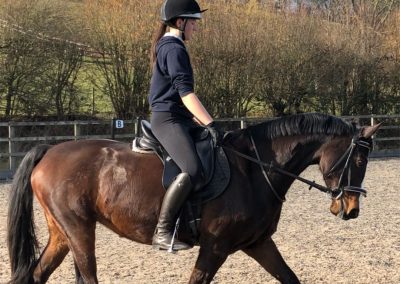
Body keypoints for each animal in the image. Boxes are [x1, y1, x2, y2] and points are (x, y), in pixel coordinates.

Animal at [7, 113, 380, 284]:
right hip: (79, 230)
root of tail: (49, 151)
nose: (351, 210)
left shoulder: (258, 243)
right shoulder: (216, 246)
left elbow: (289, 277)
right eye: (360, 160)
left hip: (62, 233)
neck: (255, 169)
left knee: (36, 274)